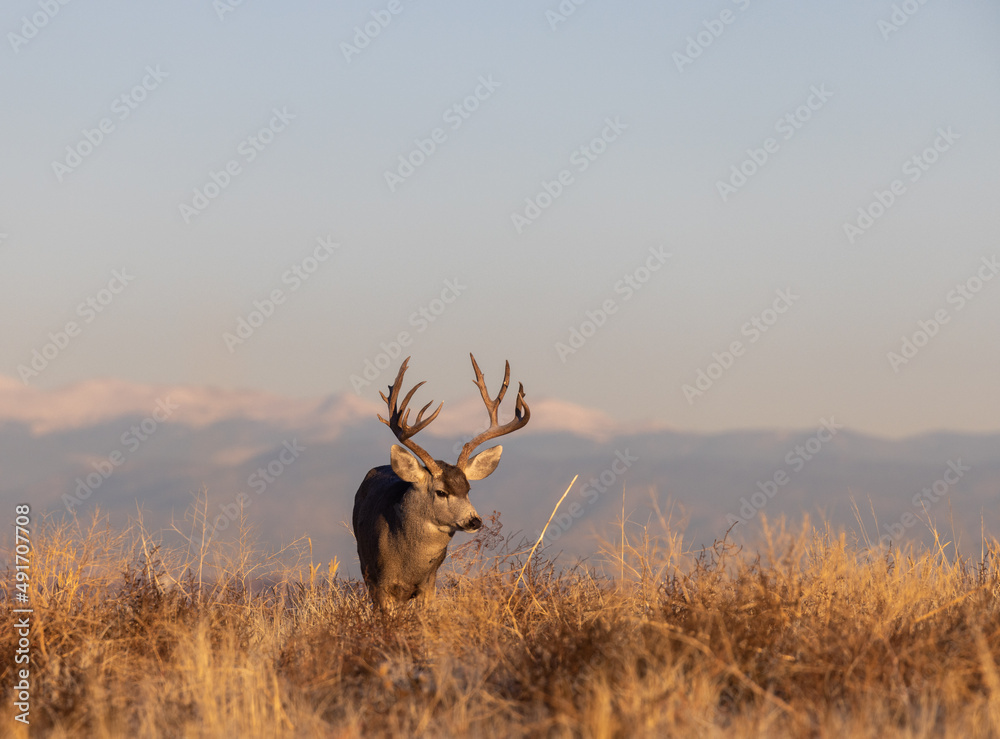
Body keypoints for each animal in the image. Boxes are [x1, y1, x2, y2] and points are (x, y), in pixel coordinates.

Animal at [352, 354, 530, 610]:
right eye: (441, 492)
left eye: (468, 489)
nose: (474, 520)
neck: (408, 563)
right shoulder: (380, 583)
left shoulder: (429, 583)